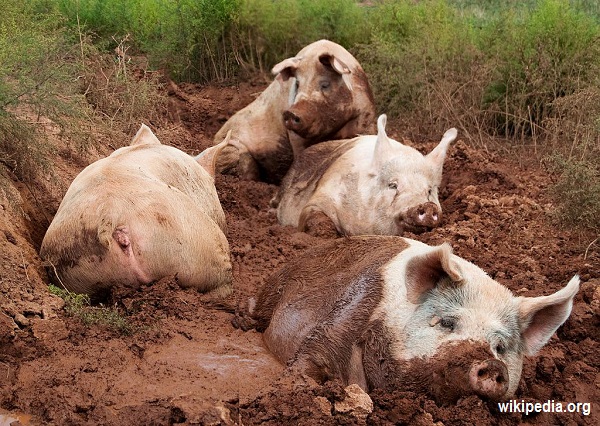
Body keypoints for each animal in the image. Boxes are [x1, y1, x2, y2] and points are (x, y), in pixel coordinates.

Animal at [212, 40, 376, 185]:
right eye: (297, 84)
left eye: (325, 84)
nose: (290, 113)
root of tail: (213, 139)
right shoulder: (294, 136)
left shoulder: (365, 117)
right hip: (232, 149)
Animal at [251, 236, 580, 402]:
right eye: (447, 322)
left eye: (500, 347)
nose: (492, 365)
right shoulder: (344, 317)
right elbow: (312, 359)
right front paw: (287, 390)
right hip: (272, 291)